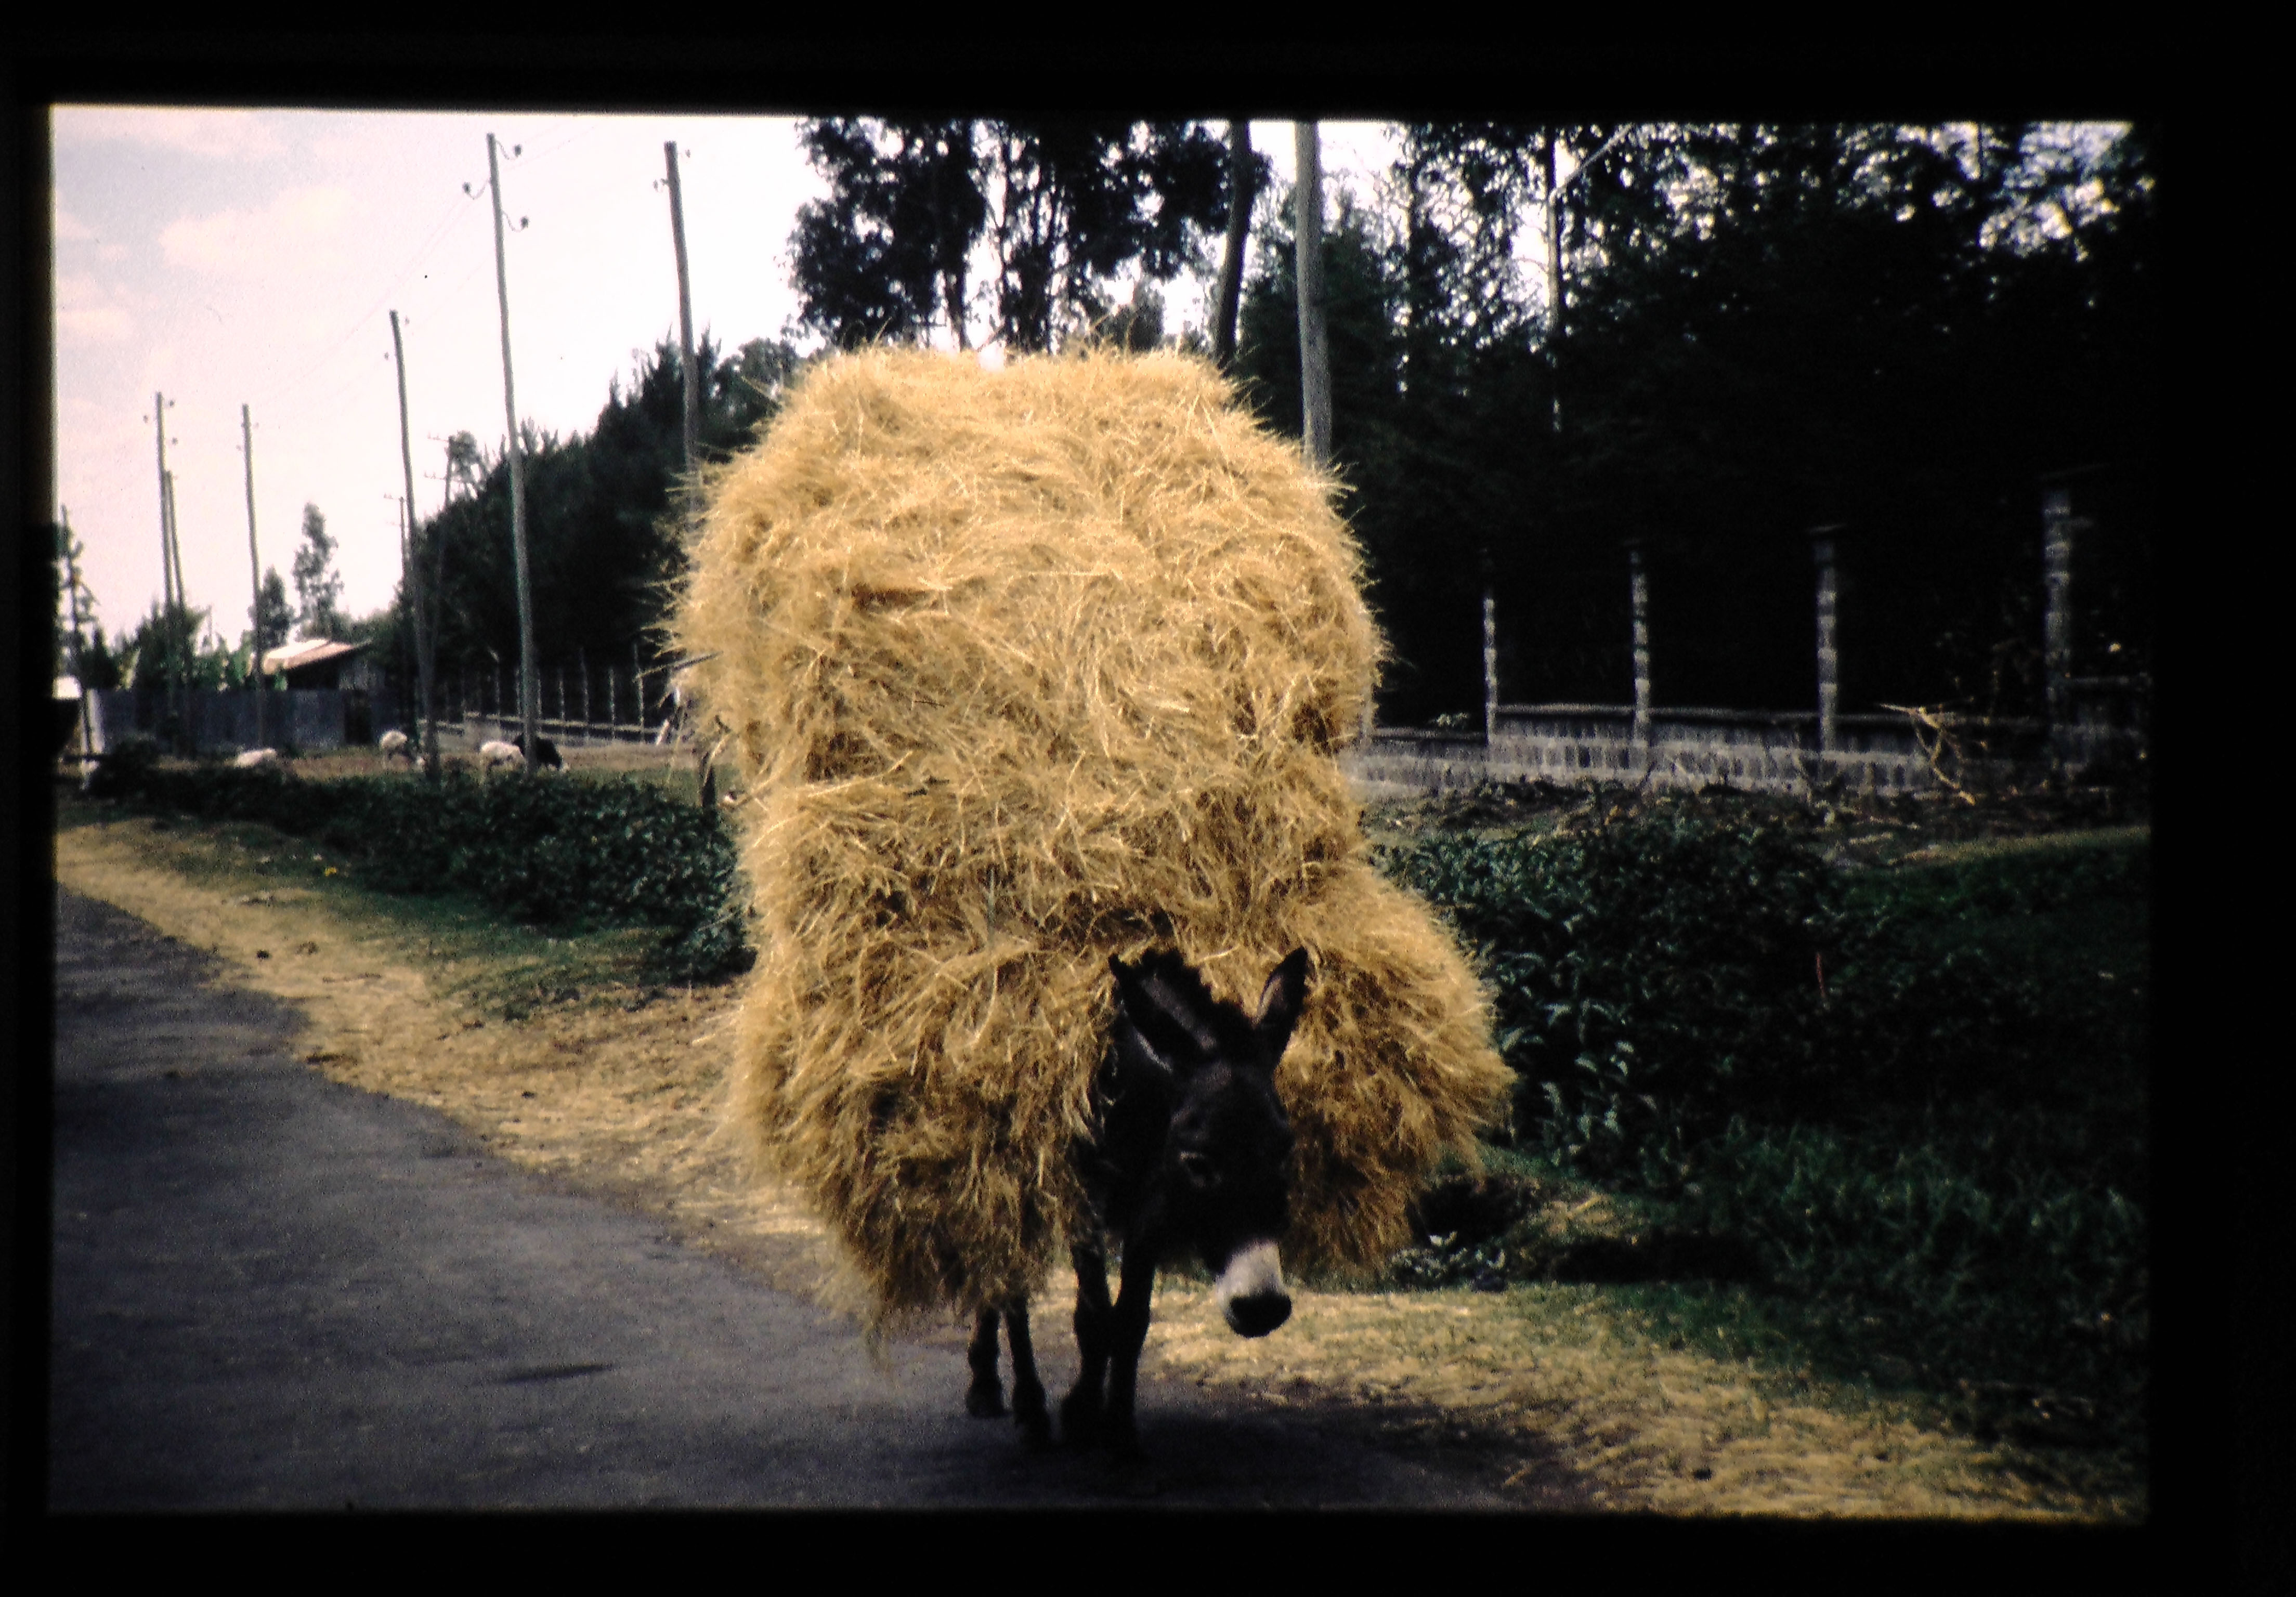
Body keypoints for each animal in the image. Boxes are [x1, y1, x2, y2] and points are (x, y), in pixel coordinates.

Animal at [964, 946, 1310, 1456]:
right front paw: (1081, 1414)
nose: (1261, 1308)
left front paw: (1119, 1428)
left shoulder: (1152, 1206)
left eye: (1285, 1148)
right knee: (1010, 1282)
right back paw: (1023, 1403)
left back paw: (988, 1379)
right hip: (1016, 1176)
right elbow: (1093, 1318)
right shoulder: (1083, 1199)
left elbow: (1131, 1320)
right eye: (1197, 1160)